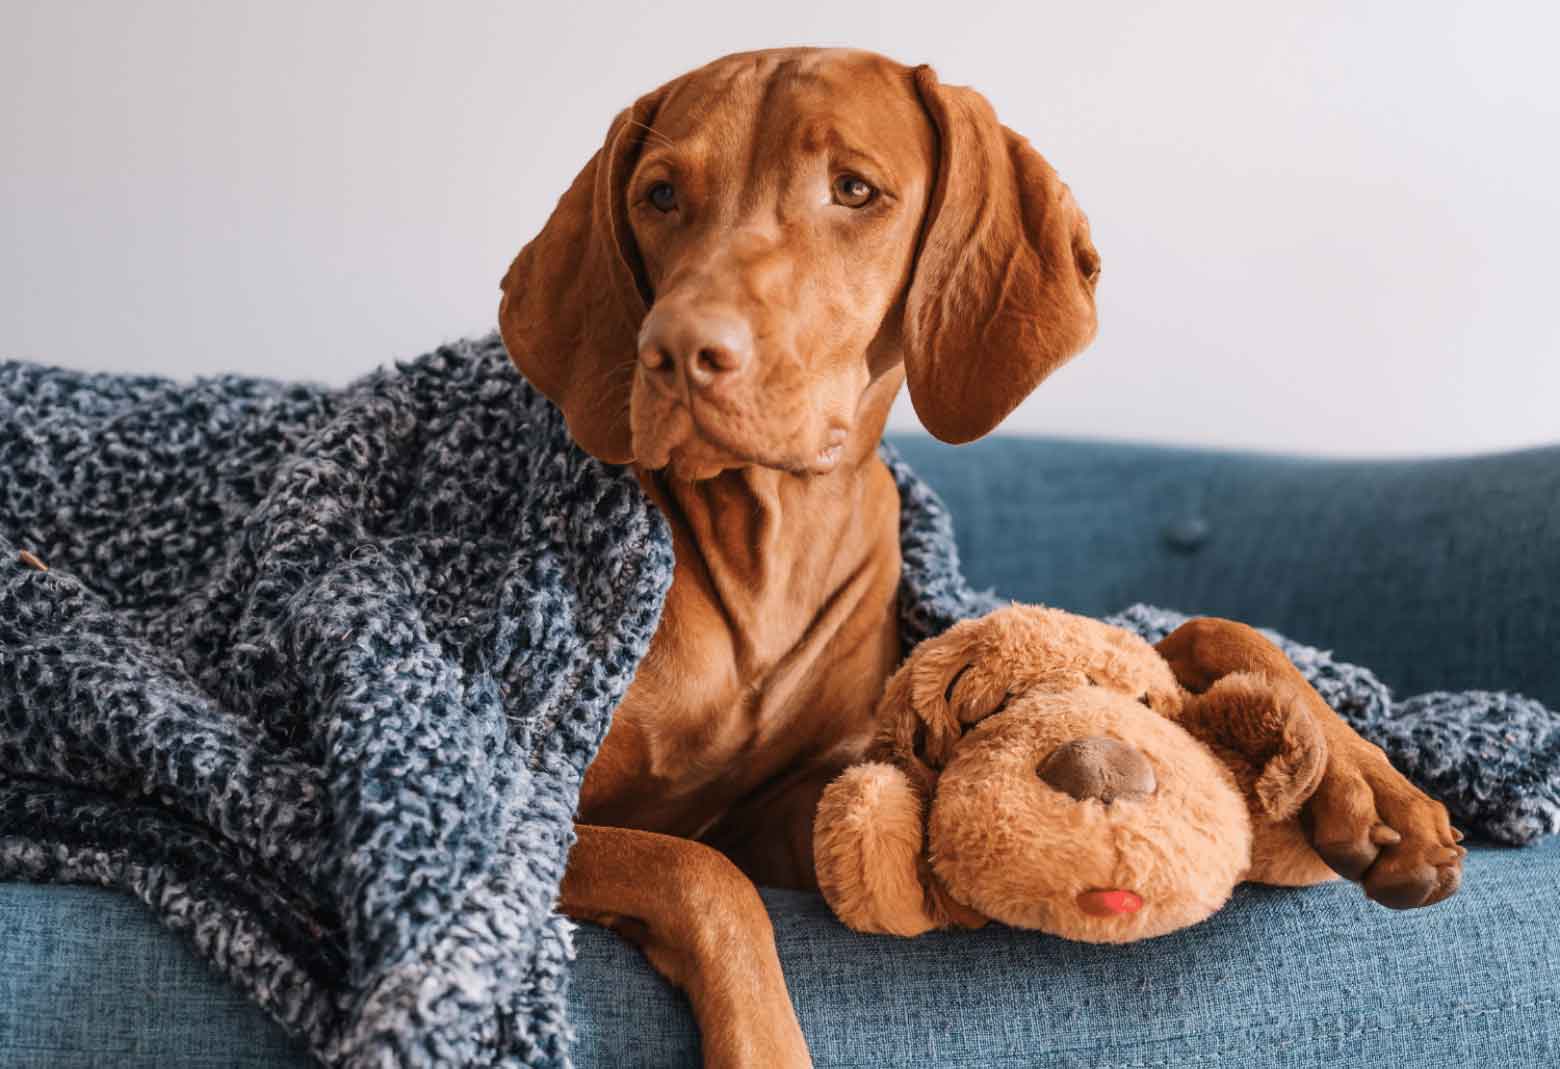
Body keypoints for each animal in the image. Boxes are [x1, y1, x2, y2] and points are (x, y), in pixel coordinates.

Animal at [499, 45, 1460, 1061]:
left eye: (854, 188)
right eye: (660, 194)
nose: (677, 350)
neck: (764, 543)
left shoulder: (805, 803)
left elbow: (1195, 630)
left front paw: (1365, 782)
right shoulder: (526, 817)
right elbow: (696, 874)